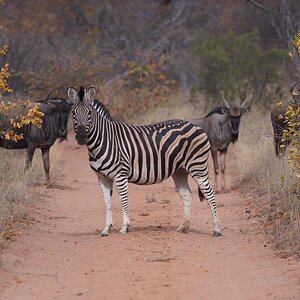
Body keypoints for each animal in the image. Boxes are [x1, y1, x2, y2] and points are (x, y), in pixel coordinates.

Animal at [68, 86, 223, 237]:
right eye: (73, 113)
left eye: (89, 113)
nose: (81, 137)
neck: (104, 140)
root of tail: (196, 125)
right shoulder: (102, 177)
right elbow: (107, 203)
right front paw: (106, 229)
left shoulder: (120, 175)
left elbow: (123, 200)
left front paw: (124, 228)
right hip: (180, 170)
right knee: (186, 195)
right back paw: (183, 227)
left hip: (198, 166)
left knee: (210, 194)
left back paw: (217, 230)